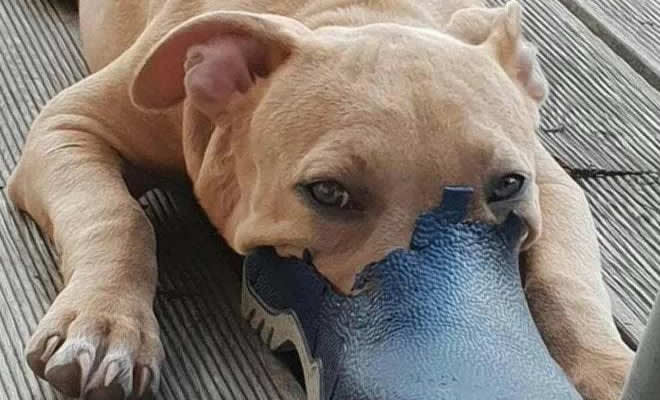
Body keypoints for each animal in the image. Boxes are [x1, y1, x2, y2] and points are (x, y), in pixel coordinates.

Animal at [8, 0, 633, 399]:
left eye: (508, 185)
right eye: (328, 192)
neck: (353, 14)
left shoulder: (551, 183)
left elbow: (566, 281)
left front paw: (612, 371)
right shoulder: (67, 125)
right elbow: (116, 216)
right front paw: (104, 325)